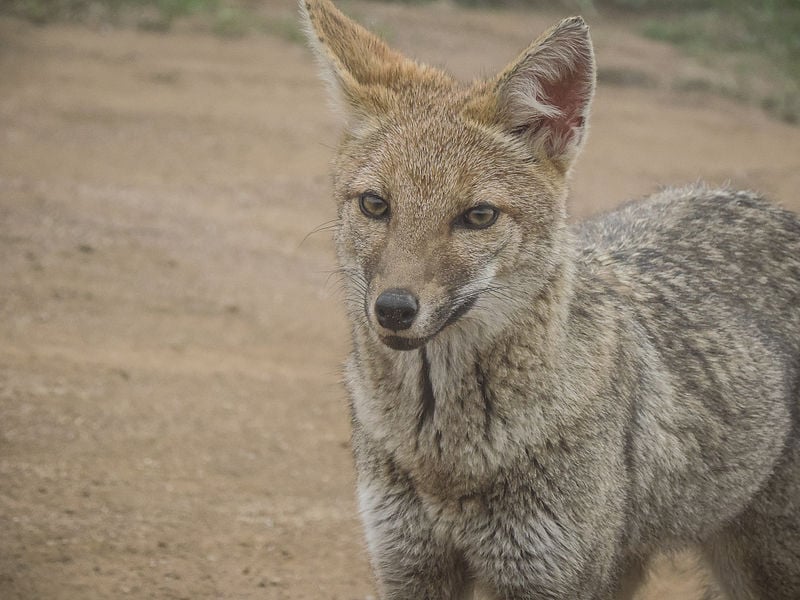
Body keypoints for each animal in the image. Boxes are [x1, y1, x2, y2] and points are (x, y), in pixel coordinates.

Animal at [298, 0, 800, 596]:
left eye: (478, 216)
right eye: (376, 205)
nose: (393, 309)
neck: (445, 457)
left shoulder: (546, 573)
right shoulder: (410, 564)